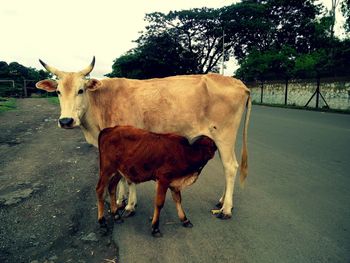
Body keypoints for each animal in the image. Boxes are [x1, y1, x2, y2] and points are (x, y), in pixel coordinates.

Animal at [37, 58, 252, 221]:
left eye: (81, 90)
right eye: (58, 92)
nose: (66, 121)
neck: (102, 103)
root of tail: (239, 83)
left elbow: (128, 177)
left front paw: (129, 206)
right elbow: (121, 177)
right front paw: (121, 201)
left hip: (224, 136)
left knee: (230, 167)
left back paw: (226, 209)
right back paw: (222, 201)